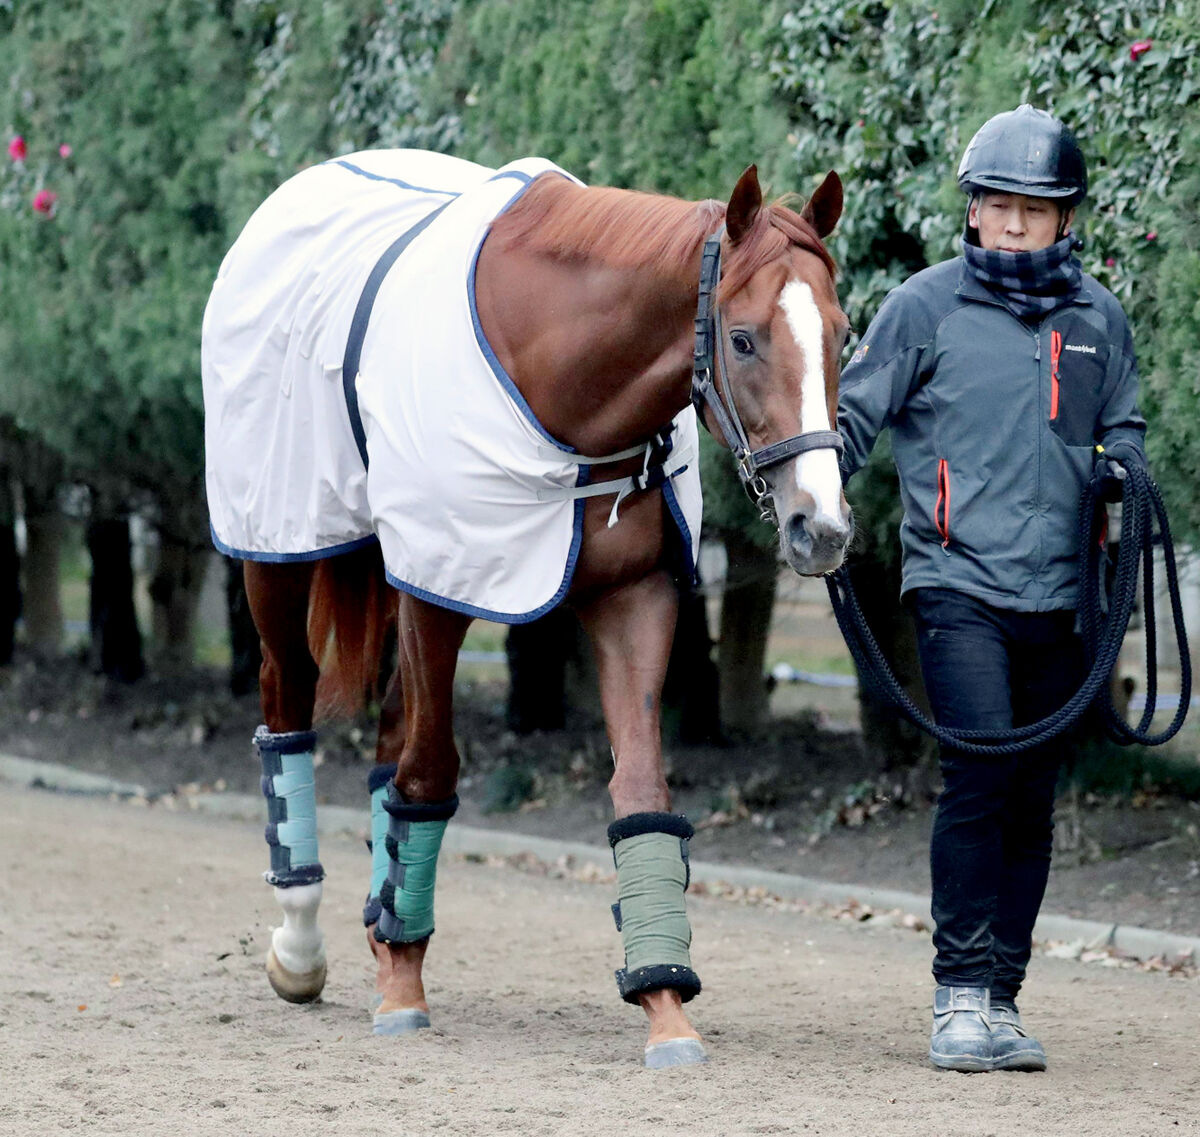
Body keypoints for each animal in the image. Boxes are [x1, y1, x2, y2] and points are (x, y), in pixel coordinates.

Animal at [201, 153, 849, 1074]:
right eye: (745, 338)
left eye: (840, 332)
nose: (820, 526)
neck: (561, 376)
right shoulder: (439, 591)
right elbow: (430, 775)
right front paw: (402, 987)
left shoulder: (630, 595)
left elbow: (639, 788)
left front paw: (663, 1001)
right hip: (281, 552)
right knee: (288, 701)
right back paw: (303, 946)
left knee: (389, 734)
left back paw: (383, 927)